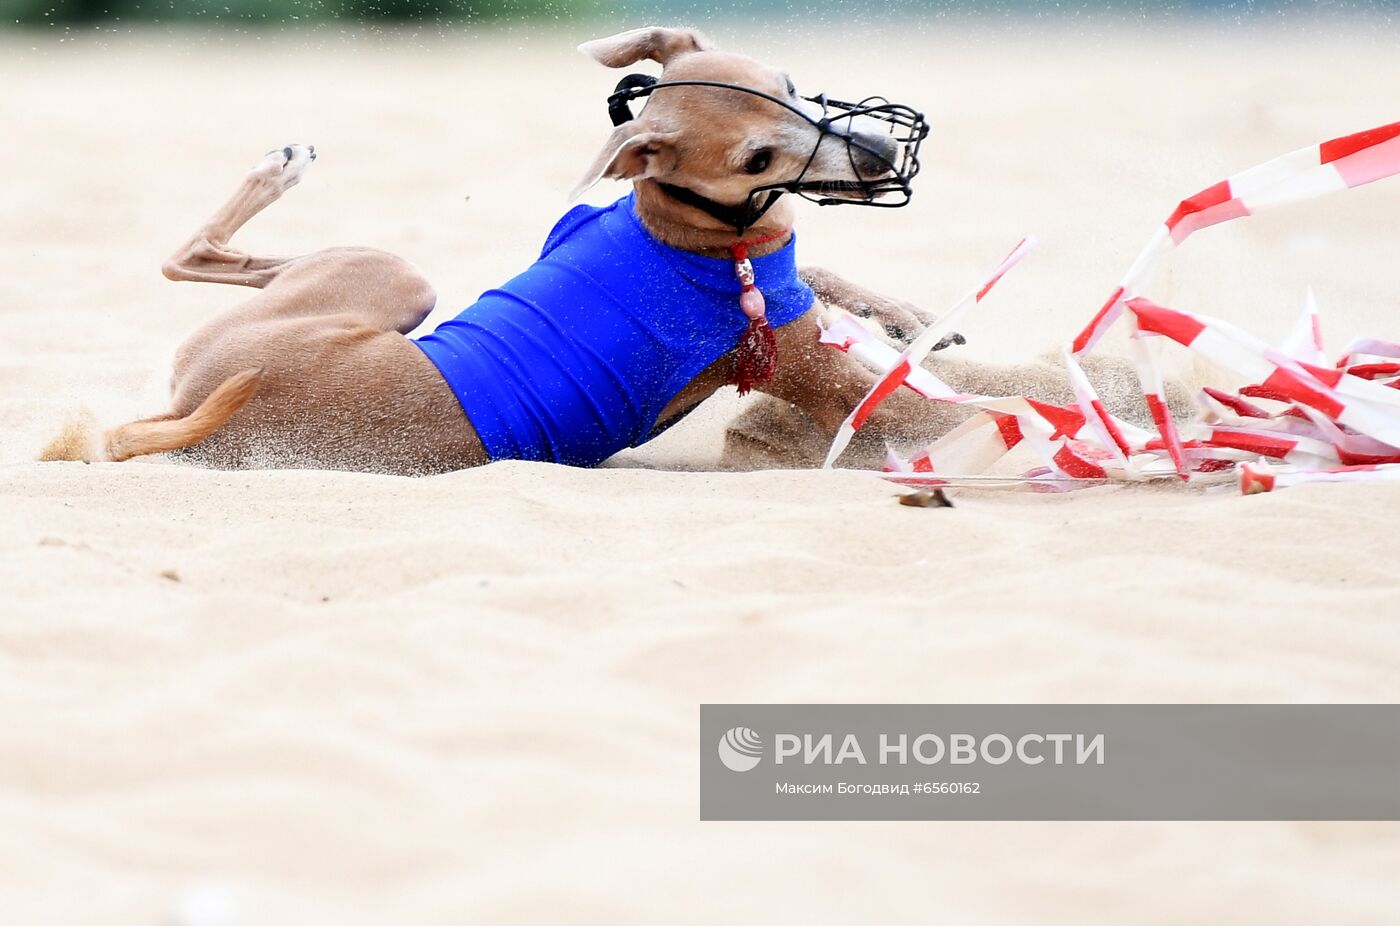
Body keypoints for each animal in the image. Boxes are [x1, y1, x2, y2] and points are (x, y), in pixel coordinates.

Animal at [101, 25, 1148, 473]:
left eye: (791, 84)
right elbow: (978, 410)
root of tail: (190, 414)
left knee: (193, 259)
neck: (687, 235)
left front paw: (904, 312)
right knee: (185, 250)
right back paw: (278, 167)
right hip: (394, 275)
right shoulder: (843, 389)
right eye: (757, 154)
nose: (884, 153)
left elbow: (819, 268)